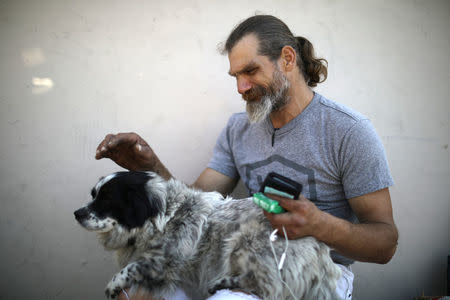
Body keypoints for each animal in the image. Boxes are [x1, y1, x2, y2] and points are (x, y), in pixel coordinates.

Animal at [74, 171, 342, 300]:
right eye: (94, 194)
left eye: (107, 199)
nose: (76, 213)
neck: (164, 215)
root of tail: (323, 258)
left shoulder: (162, 264)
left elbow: (128, 269)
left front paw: (113, 285)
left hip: (245, 242)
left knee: (269, 288)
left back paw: (223, 283)